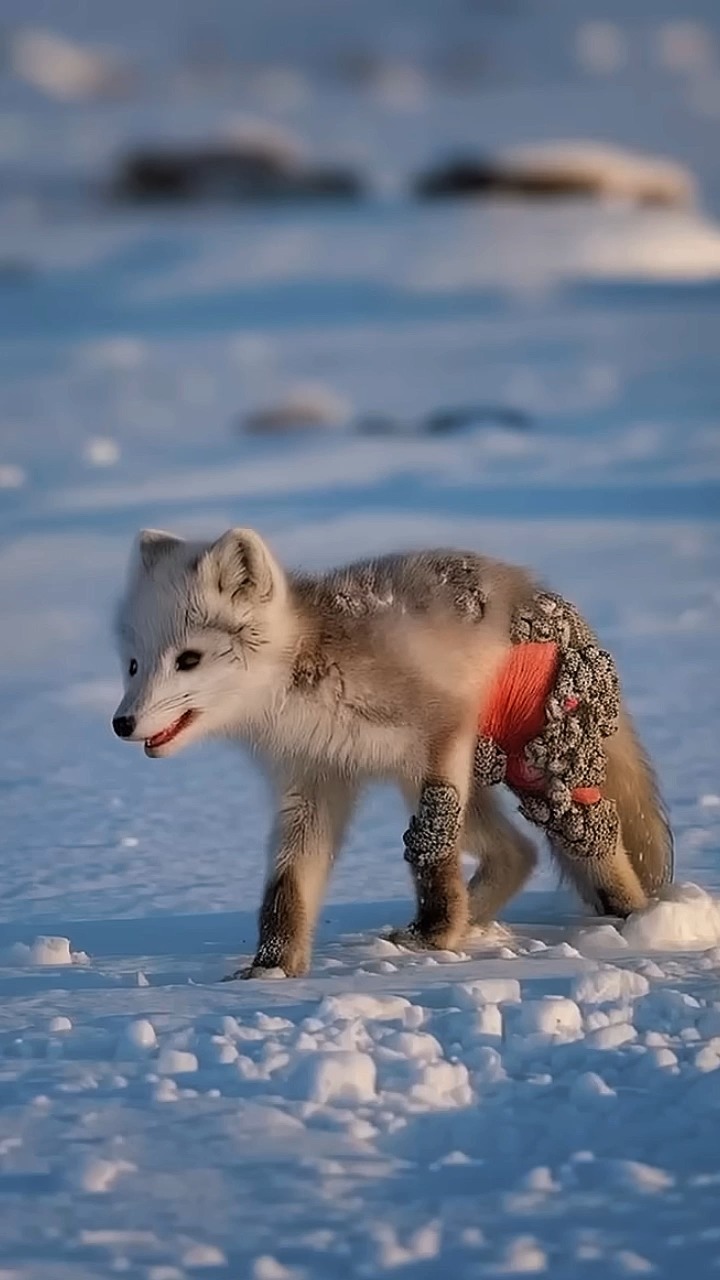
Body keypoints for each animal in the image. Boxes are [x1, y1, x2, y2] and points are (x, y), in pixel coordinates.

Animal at [112, 526, 673, 979]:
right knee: (518, 852)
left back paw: (633, 922)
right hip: (442, 780)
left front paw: (437, 932)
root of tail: (533, 586)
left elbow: (432, 850)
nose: (121, 724)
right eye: (134, 665)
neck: (305, 687)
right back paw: (468, 922)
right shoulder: (311, 784)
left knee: (593, 840)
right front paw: (273, 969)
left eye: (188, 660)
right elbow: (286, 888)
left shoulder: (440, 729)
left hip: (534, 768)